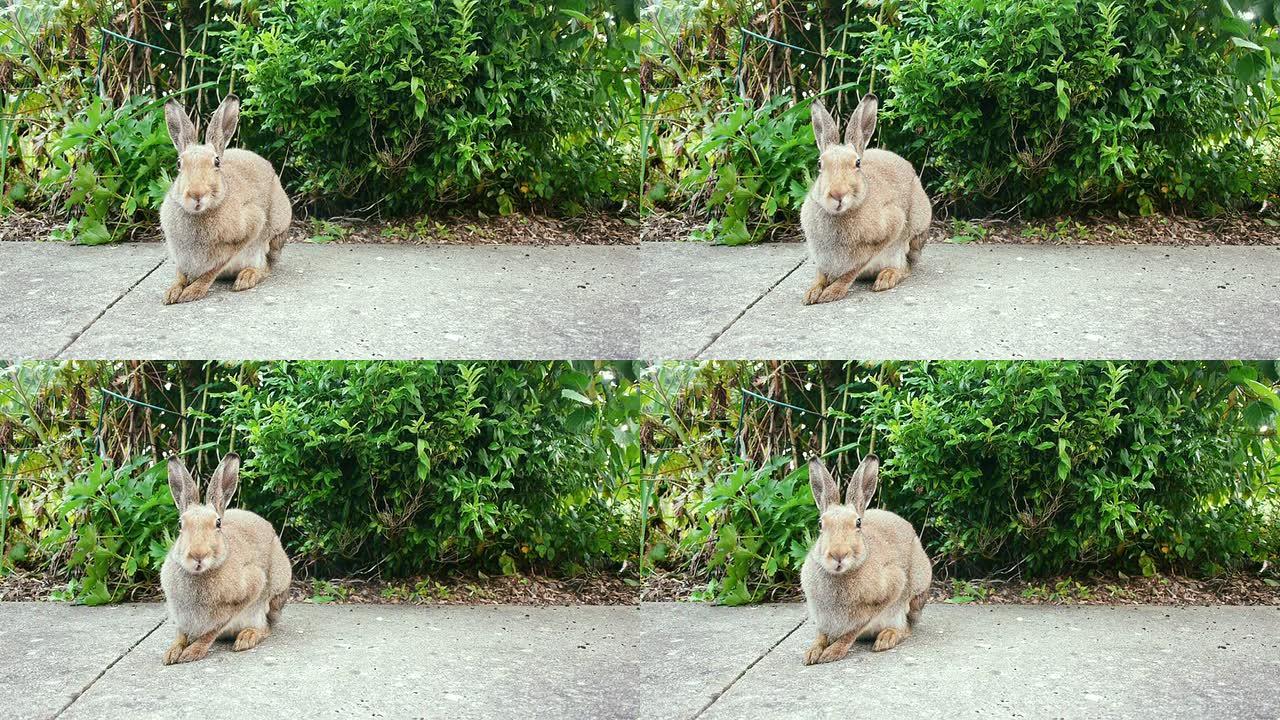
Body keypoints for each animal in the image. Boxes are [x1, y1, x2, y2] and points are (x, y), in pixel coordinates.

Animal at [159, 450, 290, 666]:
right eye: (180, 524)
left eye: (218, 523)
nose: (198, 555)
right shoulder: (181, 617)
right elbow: (180, 635)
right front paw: (170, 653)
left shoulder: (251, 587)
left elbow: (211, 631)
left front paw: (191, 653)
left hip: (276, 591)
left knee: (267, 627)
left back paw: (246, 638)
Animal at [160, 95, 293, 302]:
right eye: (179, 163)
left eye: (216, 162)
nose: (196, 194)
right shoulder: (180, 258)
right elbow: (180, 274)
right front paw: (171, 293)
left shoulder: (250, 227)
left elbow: (213, 270)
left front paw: (192, 292)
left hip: (276, 233)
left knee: (267, 267)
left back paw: (246, 278)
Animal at [798, 92, 931, 302]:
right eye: (820, 164)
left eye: (857, 163)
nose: (837, 194)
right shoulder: (821, 259)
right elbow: (820, 275)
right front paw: (811, 293)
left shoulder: (891, 227)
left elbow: (851, 271)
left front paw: (832, 293)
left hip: (916, 231)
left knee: (907, 266)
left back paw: (886, 278)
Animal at [798, 450, 931, 666]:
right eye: (820, 524)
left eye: (858, 523)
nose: (838, 554)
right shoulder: (822, 619)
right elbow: (821, 635)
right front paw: (811, 653)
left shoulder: (891, 588)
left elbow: (852, 632)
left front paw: (831, 653)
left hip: (917, 592)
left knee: (908, 627)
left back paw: (886, 638)